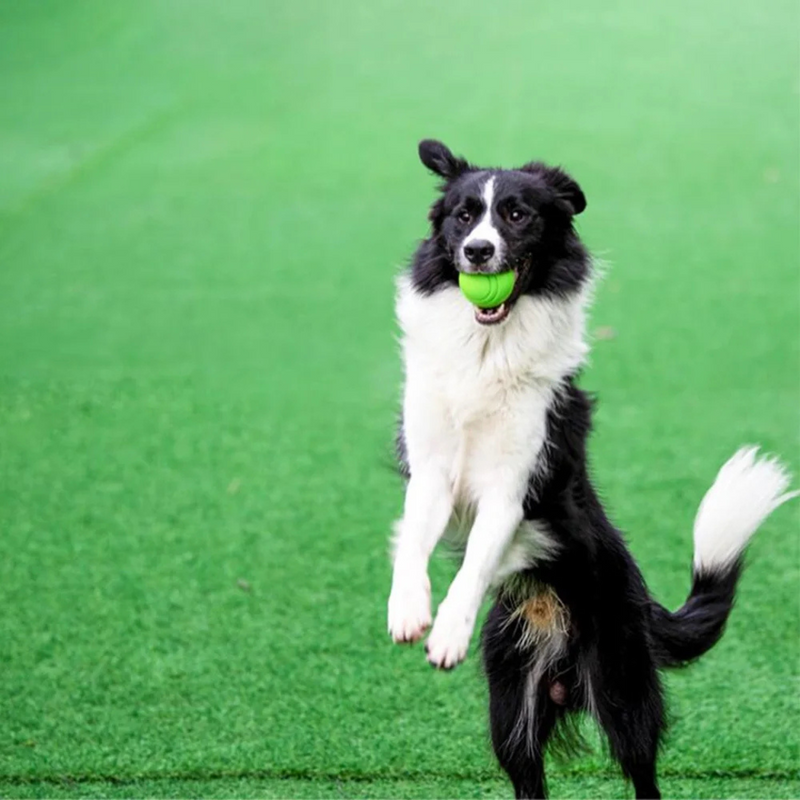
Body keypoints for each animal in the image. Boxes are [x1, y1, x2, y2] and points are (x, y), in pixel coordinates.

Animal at [386, 141, 792, 796]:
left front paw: (447, 632)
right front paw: (409, 612)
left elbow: (475, 562)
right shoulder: (432, 469)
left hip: (622, 691)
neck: (487, 350)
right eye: (463, 216)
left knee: (644, 774)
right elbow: (413, 543)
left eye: (518, 215)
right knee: (528, 775)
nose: (478, 252)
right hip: (511, 708)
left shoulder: (514, 487)